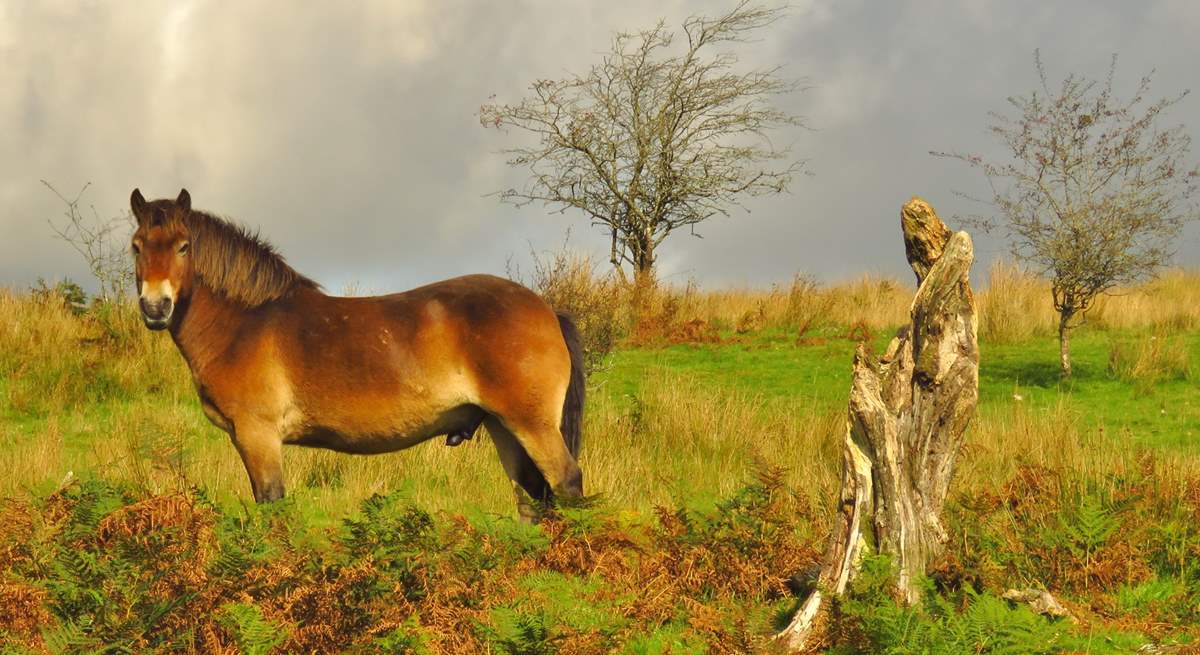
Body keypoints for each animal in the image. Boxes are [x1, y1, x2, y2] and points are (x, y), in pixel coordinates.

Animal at [127, 184, 585, 515]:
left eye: (184, 246)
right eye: (136, 246)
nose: (155, 307)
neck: (245, 321)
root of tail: (546, 309)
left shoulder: (259, 437)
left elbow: (272, 508)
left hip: (531, 425)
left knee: (566, 484)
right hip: (503, 428)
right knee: (532, 500)